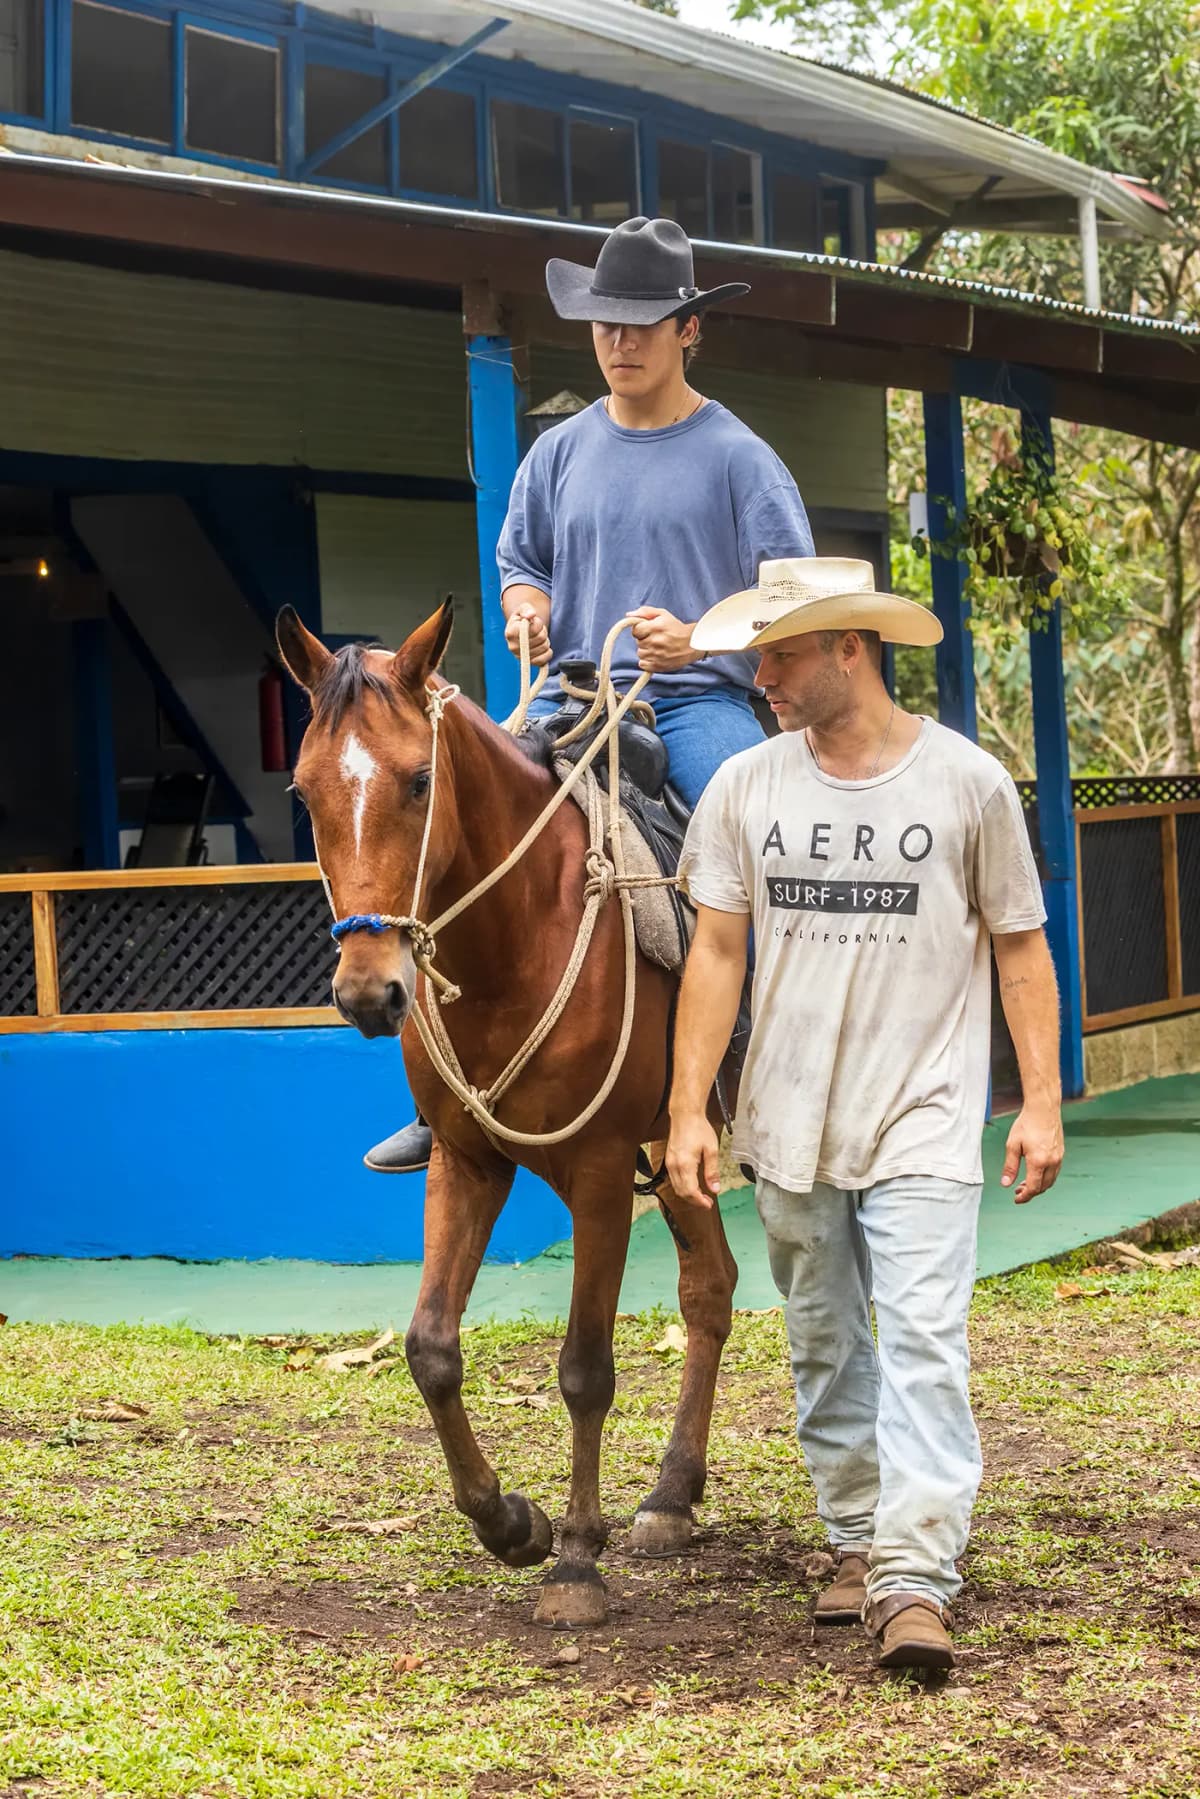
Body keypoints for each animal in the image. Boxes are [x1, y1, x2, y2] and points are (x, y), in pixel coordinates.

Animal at [276, 598, 738, 1630]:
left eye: (418, 781)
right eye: (304, 791)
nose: (368, 992)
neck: (514, 936)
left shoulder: (600, 1170)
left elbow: (586, 1367)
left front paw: (574, 1561)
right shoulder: (466, 1157)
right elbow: (430, 1348)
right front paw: (510, 1523)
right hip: (676, 1146)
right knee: (712, 1288)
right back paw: (671, 1493)